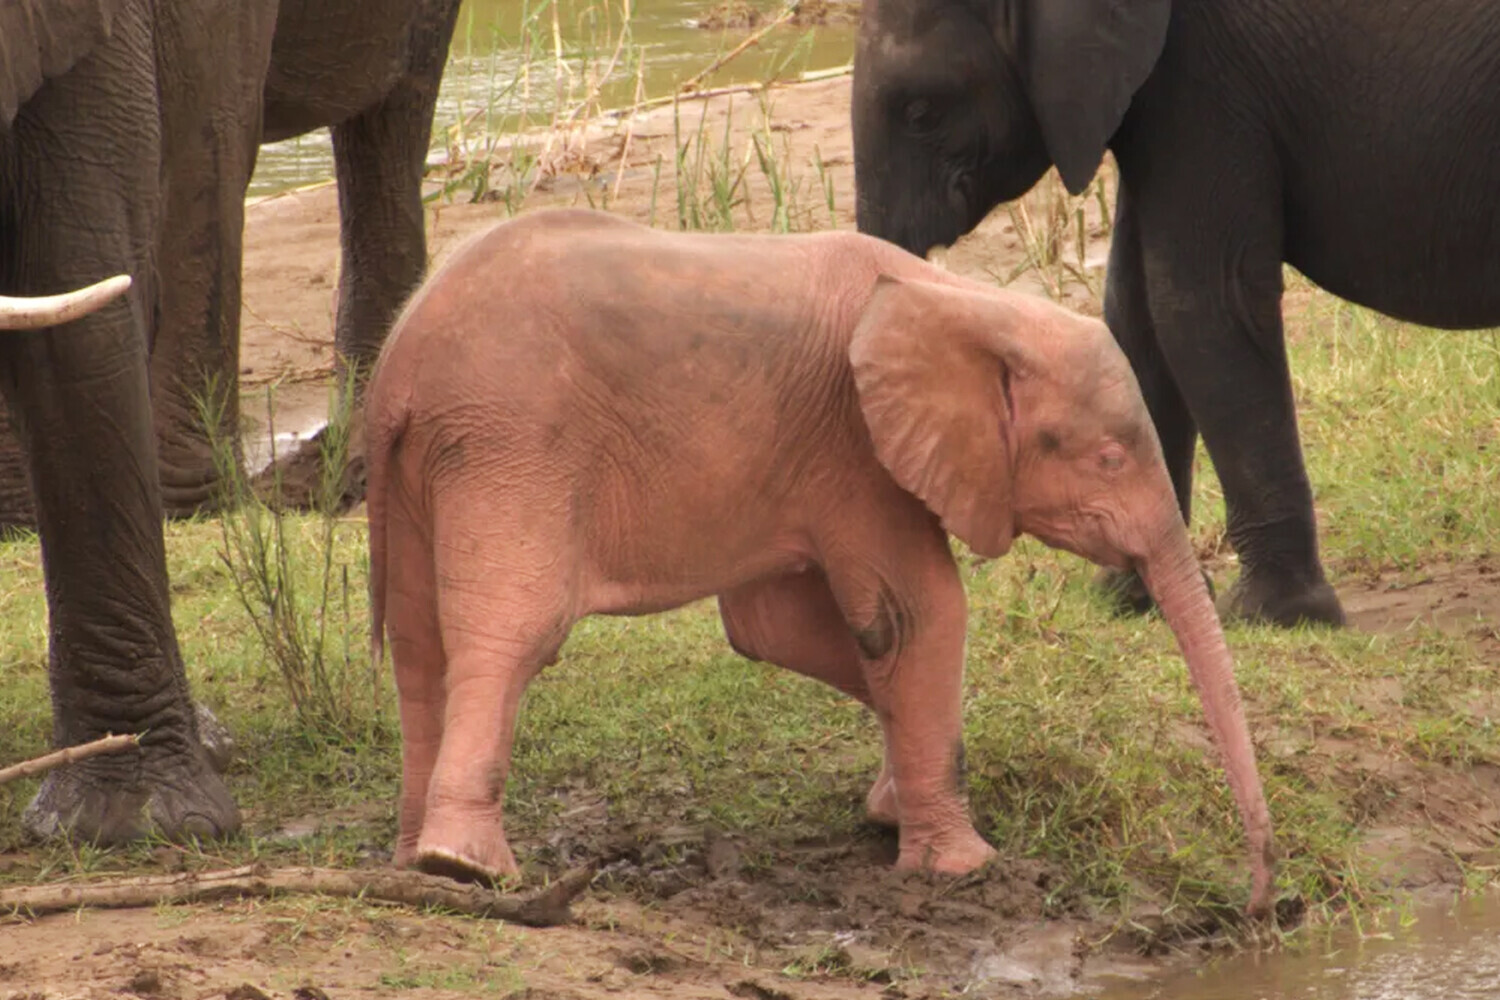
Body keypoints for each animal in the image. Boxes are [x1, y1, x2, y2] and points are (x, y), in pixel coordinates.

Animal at [366, 209, 1278, 917]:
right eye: (1110, 459)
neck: (966, 303)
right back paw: (468, 868)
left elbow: (778, 630)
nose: (1270, 903)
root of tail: (394, 372)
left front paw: (890, 812)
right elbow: (916, 616)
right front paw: (961, 868)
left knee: (417, 646)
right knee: (511, 634)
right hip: (511, 447)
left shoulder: (810, 460)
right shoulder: (858, 446)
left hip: (431, 469)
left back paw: (414, 864)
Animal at [852, 0, 1500, 626]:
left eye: (920, 112)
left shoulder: (1204, 79)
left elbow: (1197, 303)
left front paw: (1272, 615)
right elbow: (1132, 311)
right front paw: (1131, 601)